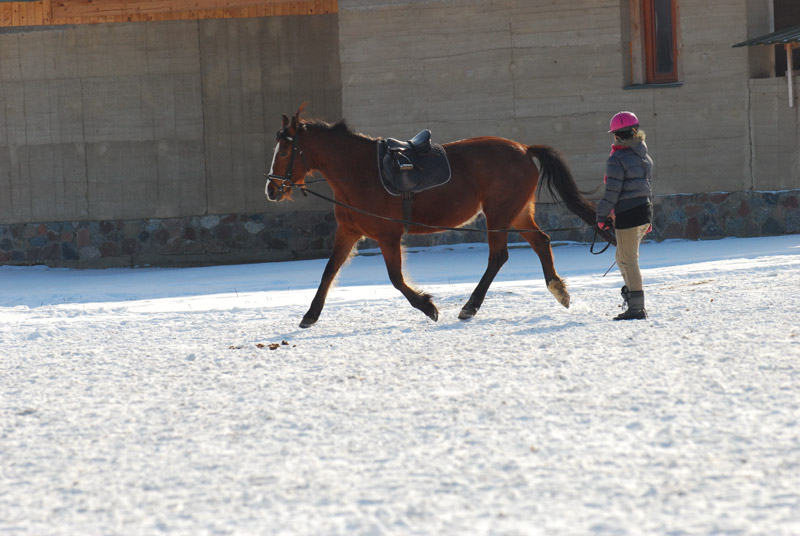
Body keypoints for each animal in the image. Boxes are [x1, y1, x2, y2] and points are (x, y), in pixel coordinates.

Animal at [266, 104, 616, 326]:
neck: (360, 173)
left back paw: (470, 307)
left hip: (499, 213)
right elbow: (329, 271)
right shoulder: (348, 232)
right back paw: (558, 290)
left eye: (285, 151)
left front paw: (427, 306)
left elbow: (396, 278)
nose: (271, 189)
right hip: (516, 212)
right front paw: (310, 315)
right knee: (541, 241)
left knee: (498, 257)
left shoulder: (388, 235)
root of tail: (524, 148)